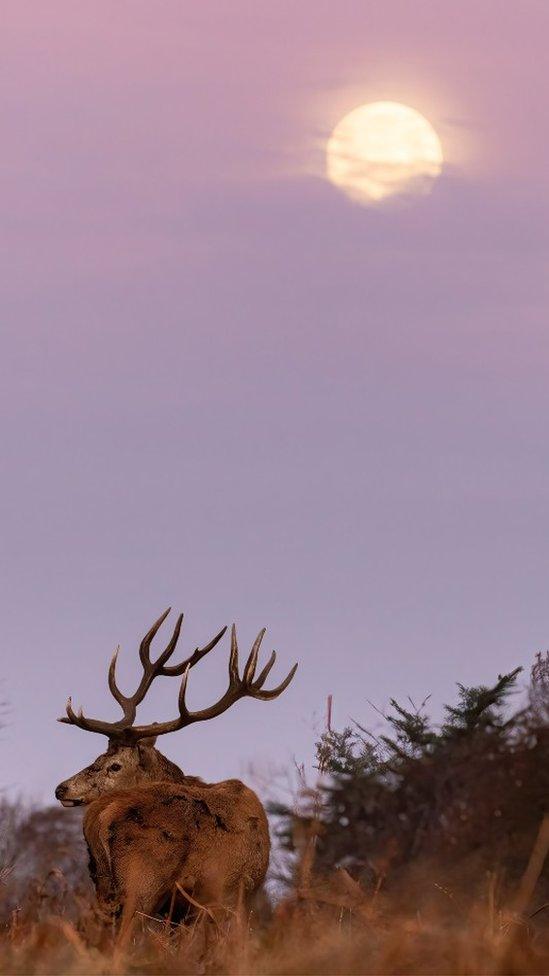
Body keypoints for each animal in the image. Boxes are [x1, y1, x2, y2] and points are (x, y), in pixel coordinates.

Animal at [54, 608, 296, 940]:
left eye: (113, 764)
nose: (61, 788)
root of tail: (102, 815)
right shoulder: (234, 895)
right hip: (142, 883)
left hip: (104, 887)